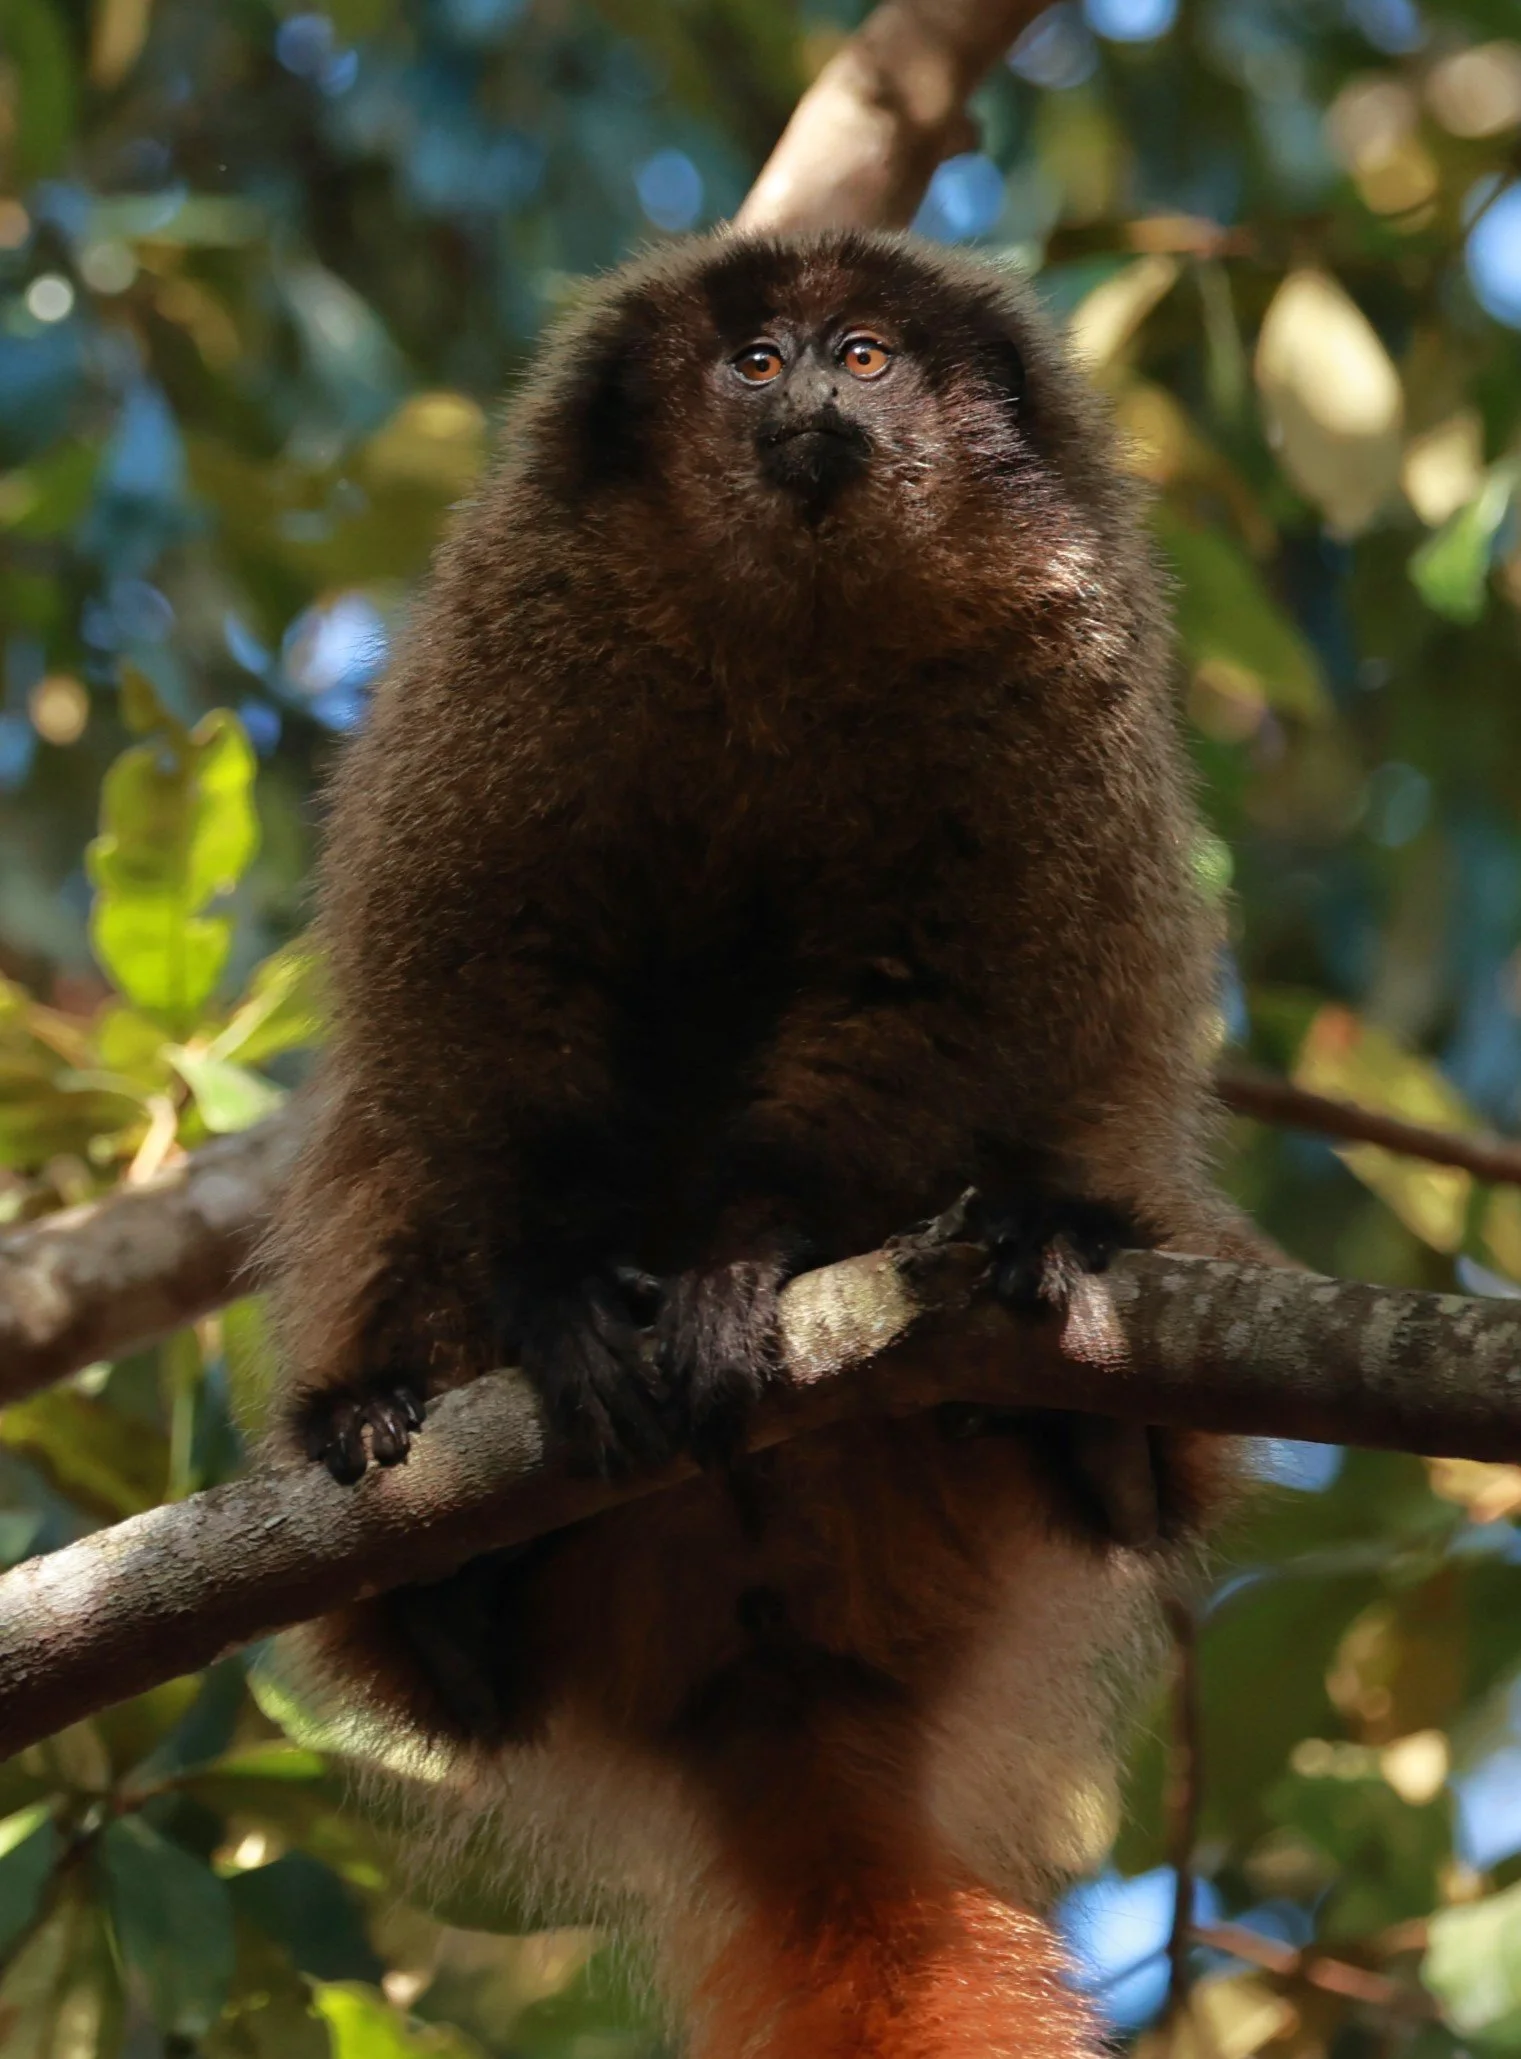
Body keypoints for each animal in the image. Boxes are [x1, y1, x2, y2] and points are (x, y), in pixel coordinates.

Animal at [267, 228, 1262, 2058]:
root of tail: (770, 1675)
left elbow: (938, 996)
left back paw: (1080, 1385)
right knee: (399, 1157)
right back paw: (429, 1547)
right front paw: (561, 1297)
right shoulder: (518, 633)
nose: (805, 388)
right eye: (750, 360)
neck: (790, 623)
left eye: (865, 353)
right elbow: (480, 959)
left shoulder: (1050, 670)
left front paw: (746, 1263)